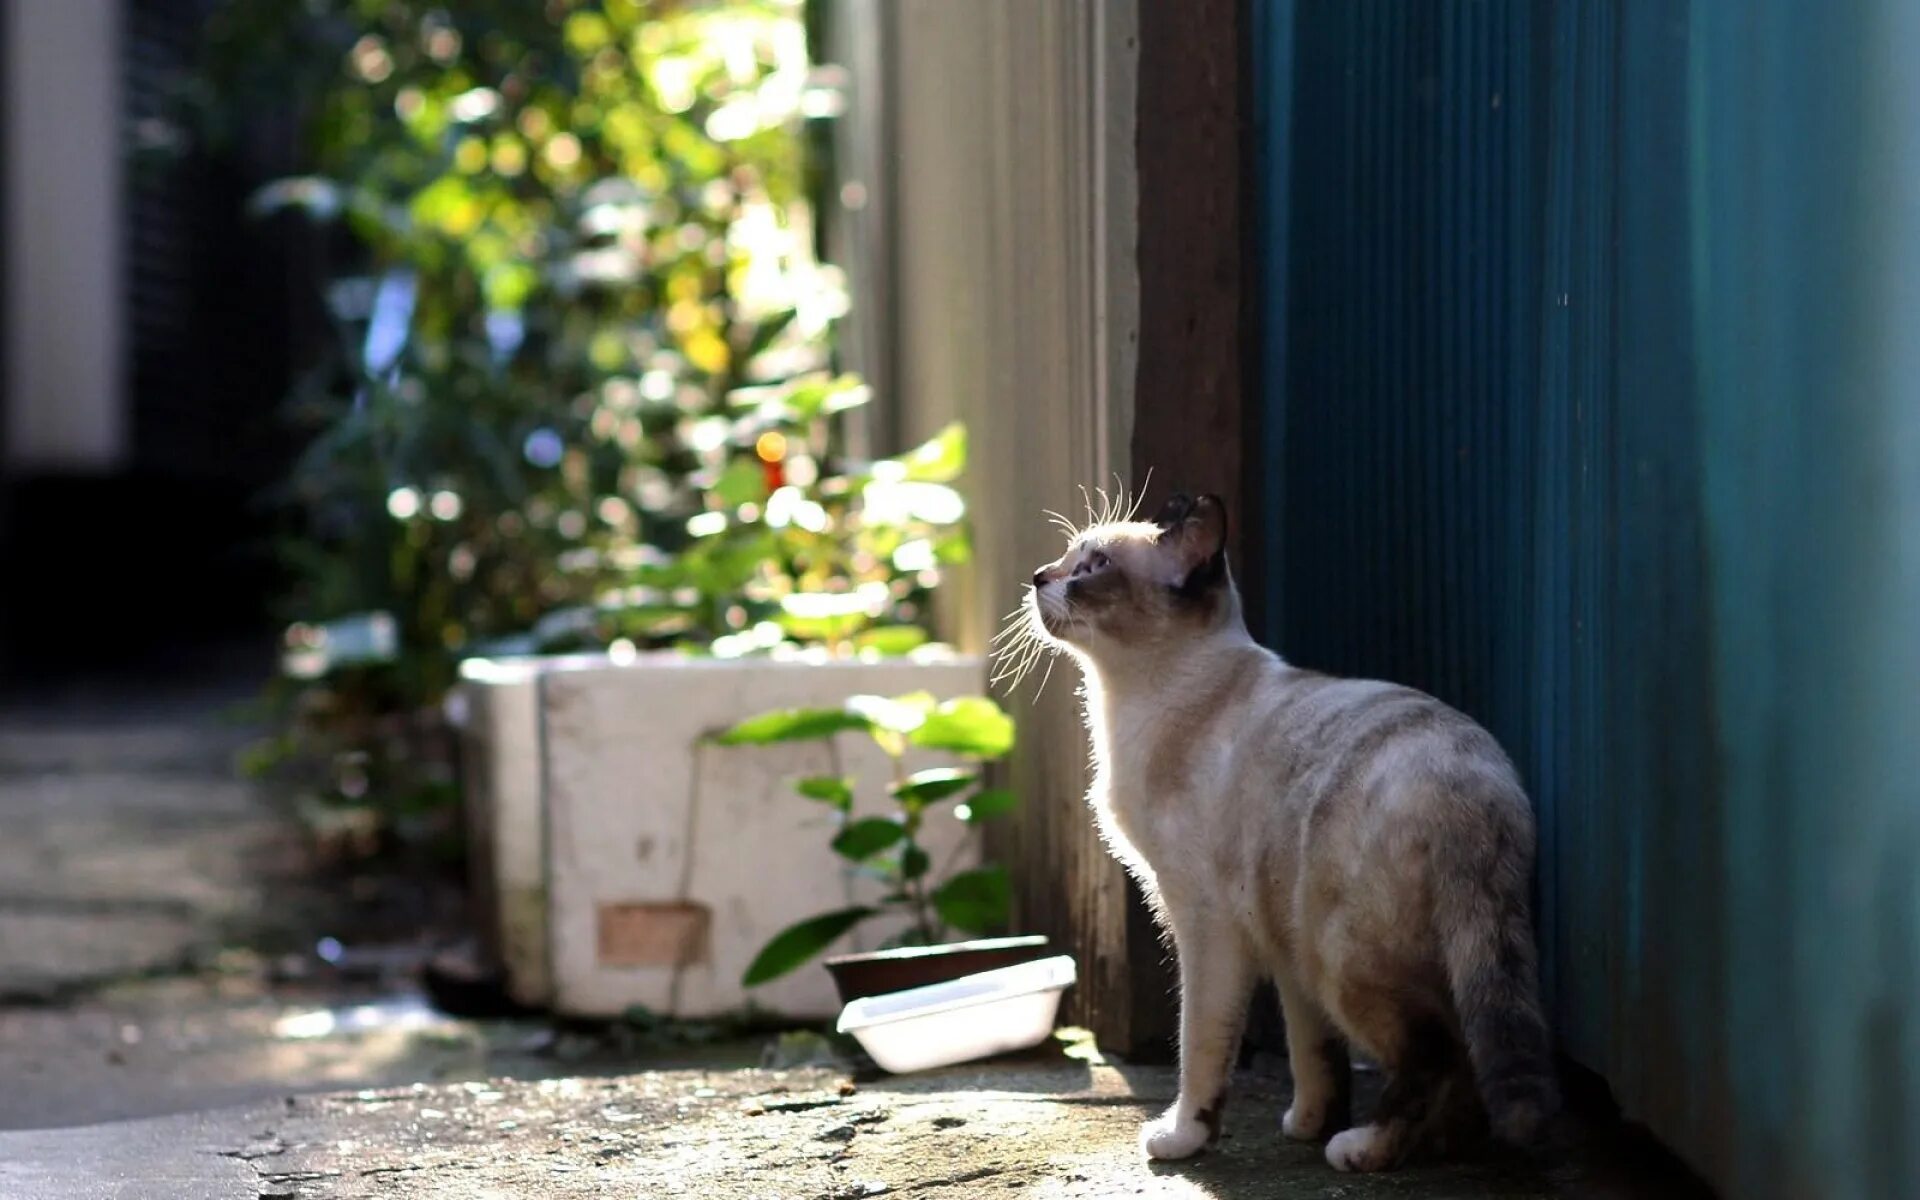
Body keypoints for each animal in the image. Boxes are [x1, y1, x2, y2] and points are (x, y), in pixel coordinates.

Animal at [1006, 489, 1559, 1167]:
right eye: (1066, 558)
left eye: (1094, 567)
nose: (1040, 577)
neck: (1135, 702)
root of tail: (1477, 790)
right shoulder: (1281, 945)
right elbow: (1313, 1052)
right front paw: (1306, 1122)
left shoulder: (1206, 924)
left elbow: (1201, 1049)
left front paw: (1182, 1138)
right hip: (1322, 941)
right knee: (1458, 1059)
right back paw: (1435, 1144)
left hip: (1337, 954)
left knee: (1436, 1052)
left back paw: (1364, 1150)